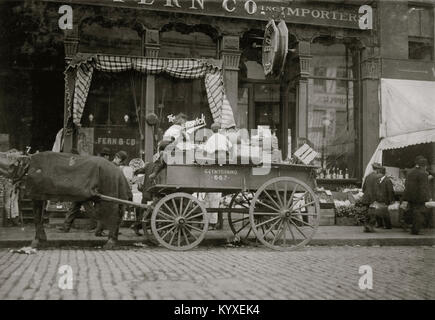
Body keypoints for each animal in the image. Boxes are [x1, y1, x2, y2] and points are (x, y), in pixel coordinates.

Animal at [0, 151, 133, 249]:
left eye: (8, 159)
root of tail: (119, 173)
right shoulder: (41, 193)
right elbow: (40, 216)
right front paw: (42, 240)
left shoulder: (35, 191)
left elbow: (37, 217)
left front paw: (35, 242)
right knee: (117, 213)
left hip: (109, 187)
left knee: (113, 213)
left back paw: (110, 242)